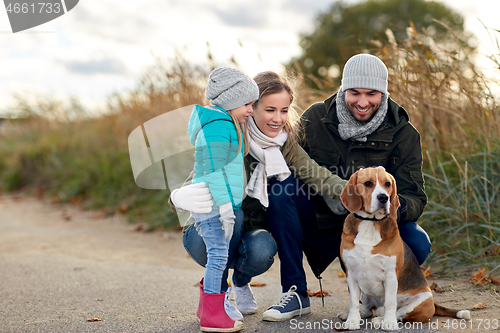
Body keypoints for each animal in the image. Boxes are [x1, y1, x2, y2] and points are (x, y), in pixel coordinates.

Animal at [338, 166, 470, 330]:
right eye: (368, 183)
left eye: (387, 184)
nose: (384, 198)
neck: (370, 223)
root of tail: (433, 303)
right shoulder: (351, 272)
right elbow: (354, 301)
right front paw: (352, 320)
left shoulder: (390, 274)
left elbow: (390, 302)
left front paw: (388, 323)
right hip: (368, 292)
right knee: (367, 309)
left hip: (421, 300)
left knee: (398, 312)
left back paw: (381, 319)